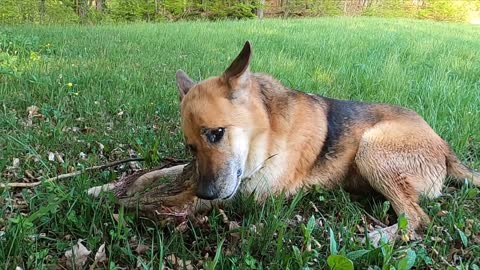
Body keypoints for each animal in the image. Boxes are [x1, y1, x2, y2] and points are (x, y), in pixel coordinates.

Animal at [176, 41, 480, 237]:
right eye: (191, 148)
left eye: (217, 133)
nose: (204, 191)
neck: (268, 130)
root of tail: (444, 146)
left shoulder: (256, 194)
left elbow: (202, 201)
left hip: (371, 149)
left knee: (417, 219)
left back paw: (377, 238)